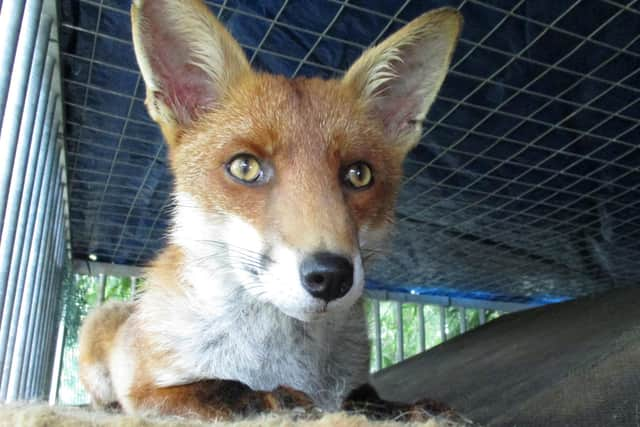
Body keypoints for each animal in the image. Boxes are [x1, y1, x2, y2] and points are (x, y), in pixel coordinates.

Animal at [77, 0, 462, 422]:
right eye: (245, 167)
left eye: (359, 174)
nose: (331, 276)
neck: (281, 362)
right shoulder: (147, 390)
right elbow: (221, 388)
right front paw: (273, 398)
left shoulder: (353, 385)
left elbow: (365, 398)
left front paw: (411, 408)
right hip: (99, 321)